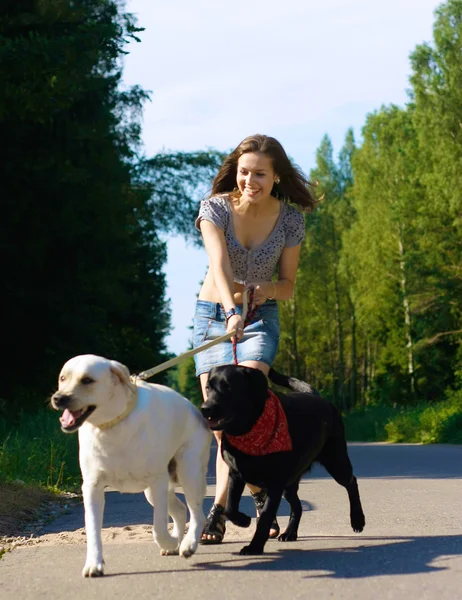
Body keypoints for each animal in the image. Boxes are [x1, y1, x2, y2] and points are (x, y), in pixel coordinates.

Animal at [51, 356, 211, 576]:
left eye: (87, 380)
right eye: (62, 378)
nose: (58, 398)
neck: (111, 426)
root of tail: (196, 411)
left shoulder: (157, 481)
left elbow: (158, 528)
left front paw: (169, 541)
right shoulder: (92, 487)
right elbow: (92, 529)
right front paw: (94, 564)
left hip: (189, 472)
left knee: (197, 513)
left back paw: (187, 544)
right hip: (154, 492)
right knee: (179, 509)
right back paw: (177, 542)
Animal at [201, 366, 364, 556]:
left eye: (228, 387)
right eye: (208, 388)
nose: (205, 408)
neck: (248, 431)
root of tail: (317, 396)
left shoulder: (275, 483)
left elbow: (265, 516)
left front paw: (254, 546)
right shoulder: (235, 474)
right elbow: (230, 507)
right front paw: (244, 520)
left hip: (336, 461)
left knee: (351, 482)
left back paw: (358, 520)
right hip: (290, 483)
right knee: (298, 506)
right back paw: (290, 533)